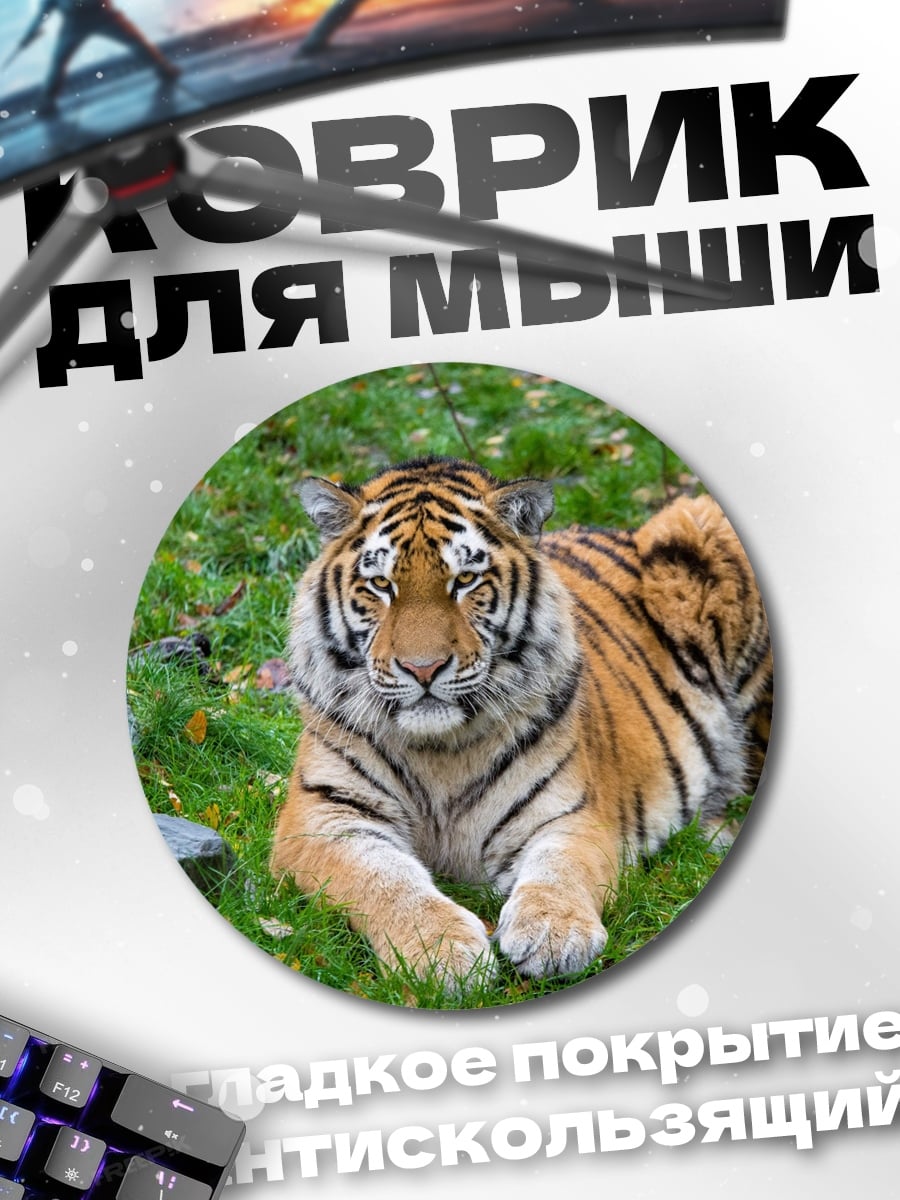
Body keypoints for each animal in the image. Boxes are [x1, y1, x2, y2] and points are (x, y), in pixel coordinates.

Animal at [269, 456, 772, 985]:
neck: (439, 752)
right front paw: (440, 952)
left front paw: (554, 933)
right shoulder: (324, 817)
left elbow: (560, 869)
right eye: (381, 585)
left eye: (465, 580)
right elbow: (384, 880)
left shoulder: (570, 815)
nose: (423, 668)